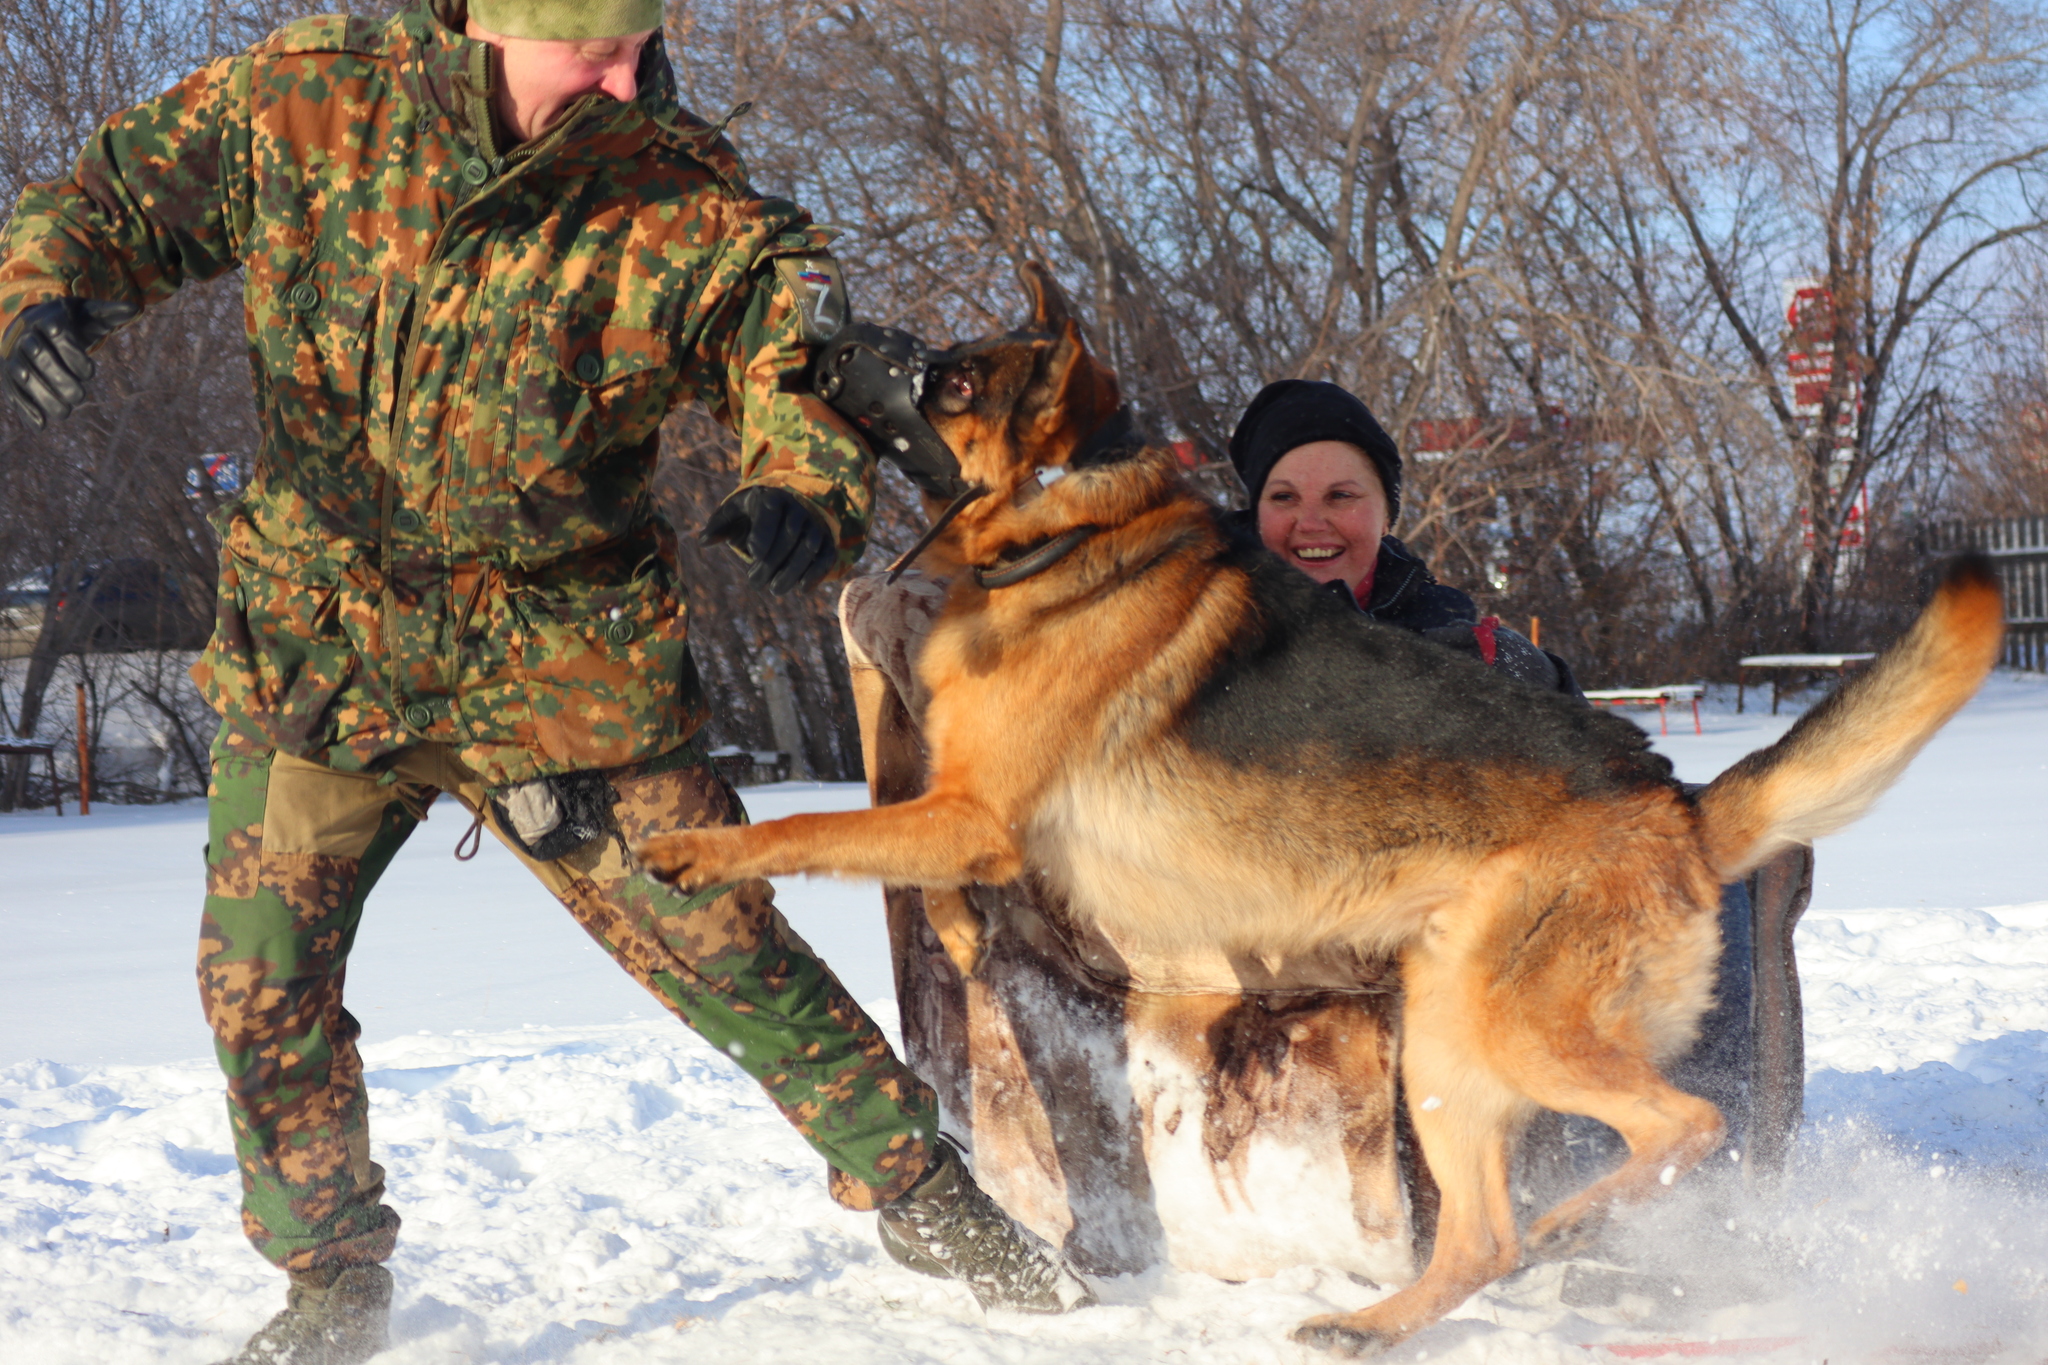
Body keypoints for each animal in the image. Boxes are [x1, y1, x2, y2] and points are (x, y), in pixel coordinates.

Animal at [638, 266, 1998, 1358]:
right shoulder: (958, 815)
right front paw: (957, 933)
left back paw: (1571, 1225)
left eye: (952, 376)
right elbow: (910, 876)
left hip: (1505, 1025)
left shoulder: (969, 814)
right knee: (1483, 1239)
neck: (1065, 515)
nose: (810, 340)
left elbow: (810, 834)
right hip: (1443, 1054)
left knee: (1686, 1125)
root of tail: (1678, 804)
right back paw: (1377, 1321)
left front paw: (698, 848)